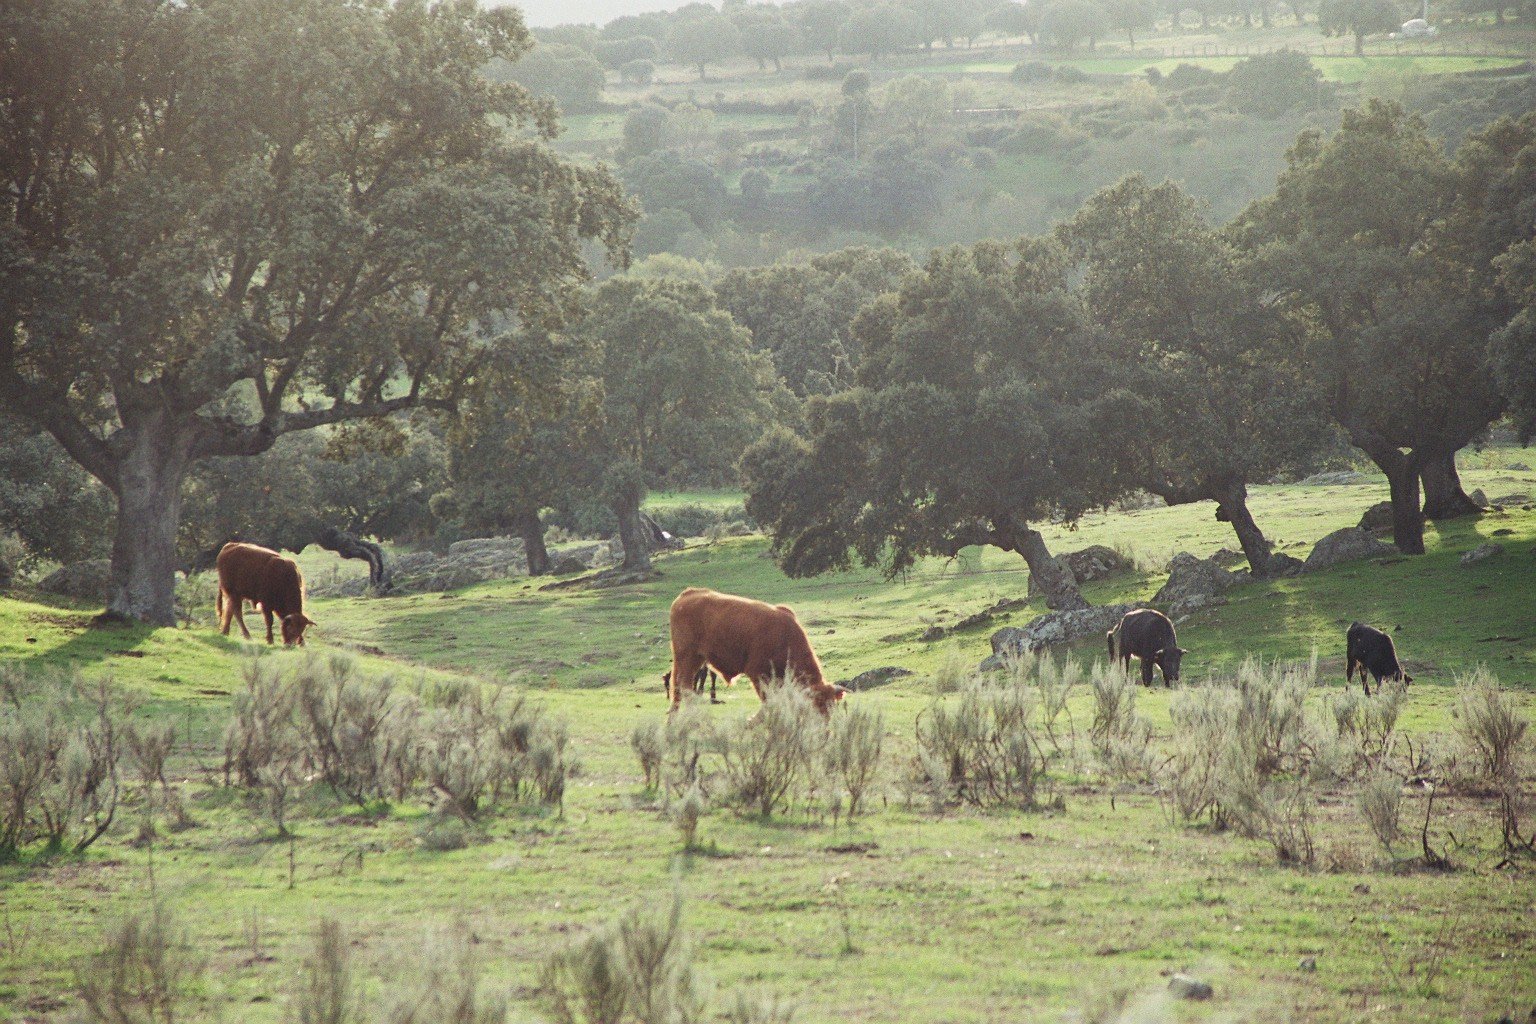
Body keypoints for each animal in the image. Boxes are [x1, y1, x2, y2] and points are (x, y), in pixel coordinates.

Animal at [666, 589, 847, 718]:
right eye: (818, 703)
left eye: (832, 705)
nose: (824, 728)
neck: (785, 637)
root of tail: (688, 593)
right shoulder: (758, 674)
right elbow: (768, 703)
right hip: (686, 657)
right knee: (683, 686)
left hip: (694, 659)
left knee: (680, 687)